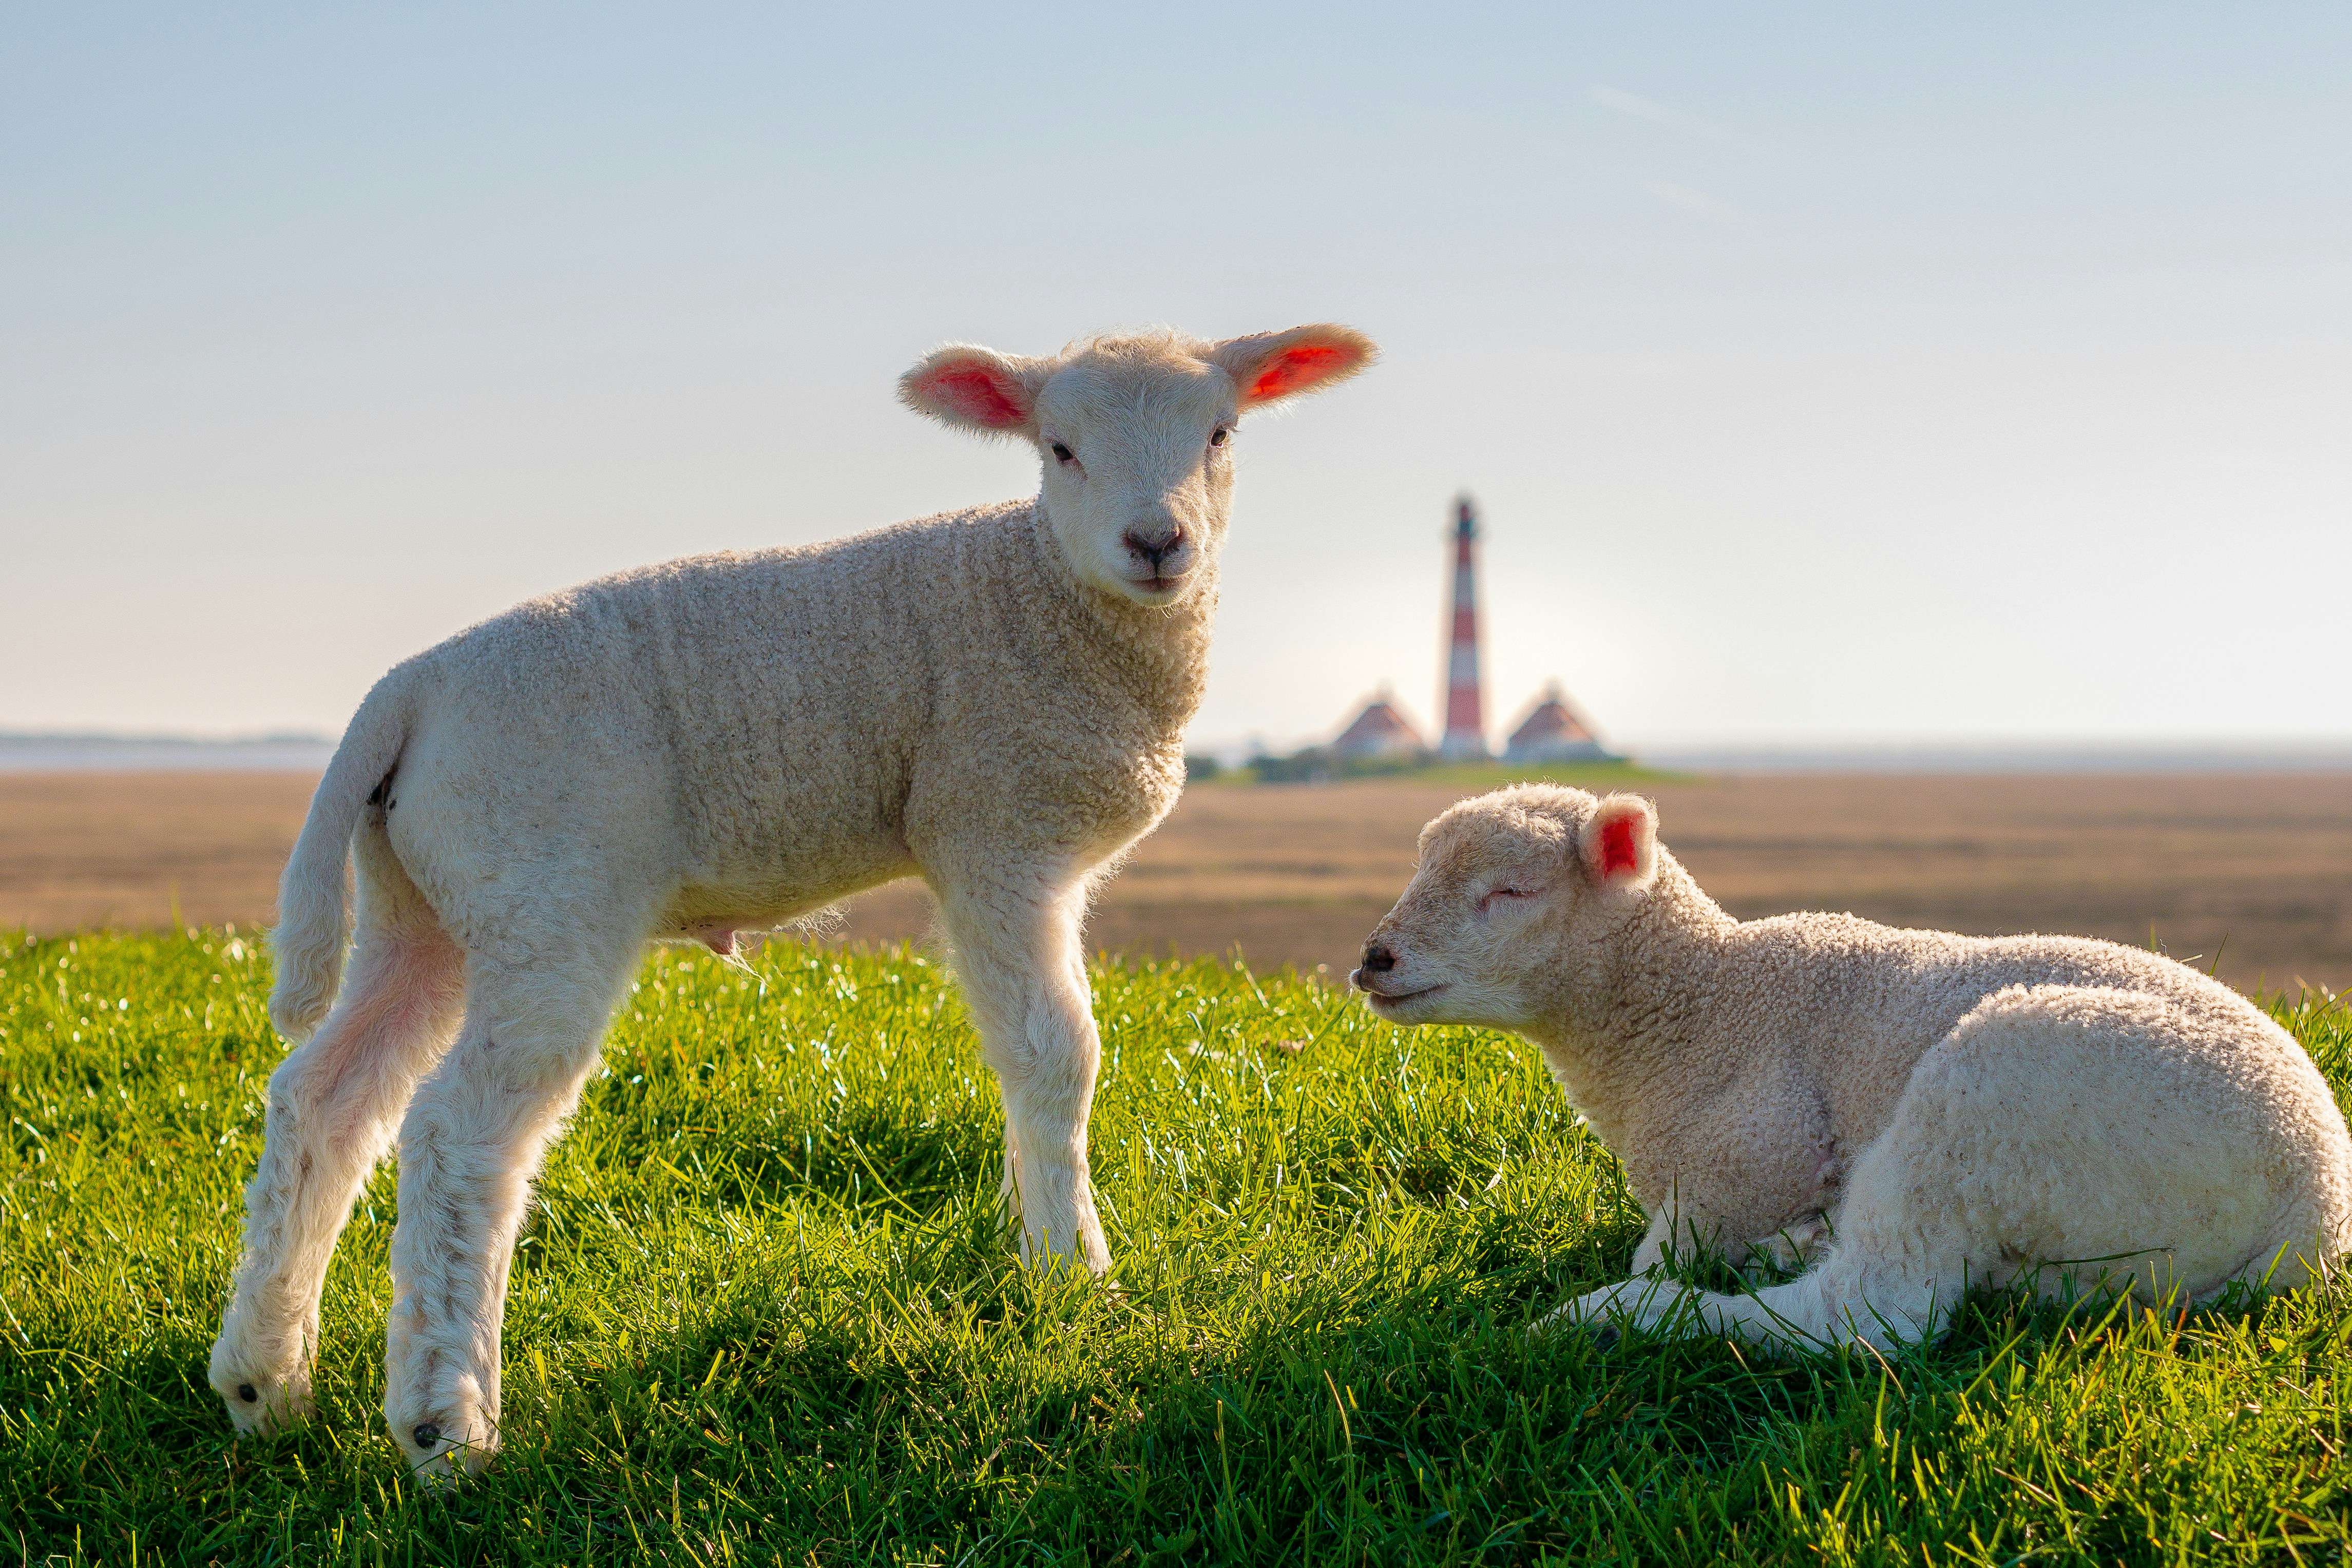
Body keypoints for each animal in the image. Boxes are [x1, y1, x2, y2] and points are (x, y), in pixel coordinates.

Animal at [207, 323, 1378, 1479]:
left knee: (326, 1098)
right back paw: (446, 1426)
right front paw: (1071, 1274)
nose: (1156, 543)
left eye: (1220, 434)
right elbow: (1055, 1055)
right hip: (547, 888)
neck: (1036, 585)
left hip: (427, 902)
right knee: (458, 1130)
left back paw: (266, 1378)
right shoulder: (993, 826)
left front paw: (1027, 1236)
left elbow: (1021, 1059)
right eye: (1059, 449)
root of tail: (404, 691)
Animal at [1352, 784, 2352, 1353]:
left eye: (1509, 891)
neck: (1699, 998)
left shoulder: (1743, 1158)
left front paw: (1642, 1286)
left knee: (1870, 1314)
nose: (1373, 959)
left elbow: (1679, 1241)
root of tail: (2314, 1211)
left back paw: (1618, 1314)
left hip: (1995, 1094)